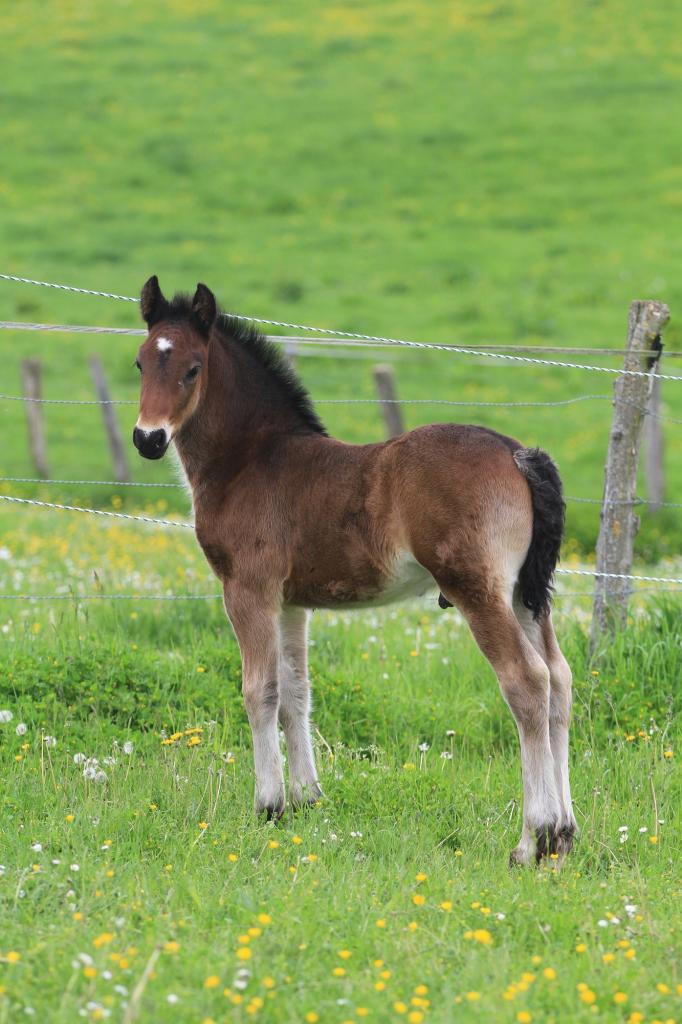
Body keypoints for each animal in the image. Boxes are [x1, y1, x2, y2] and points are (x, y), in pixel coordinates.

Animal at [131, 278, 573, 864]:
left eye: (192, 369)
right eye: (140, 362)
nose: (147, 439)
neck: (251, 461)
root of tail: (517, 453)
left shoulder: (248, 588)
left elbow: (259, 690)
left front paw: (268, 805)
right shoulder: (291, 601)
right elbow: (295, 692)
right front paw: (307, 799)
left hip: (478, 590)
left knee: (526, 681)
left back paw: (532, 840)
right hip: (525, 595)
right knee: (560, 680)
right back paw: (565, 834)